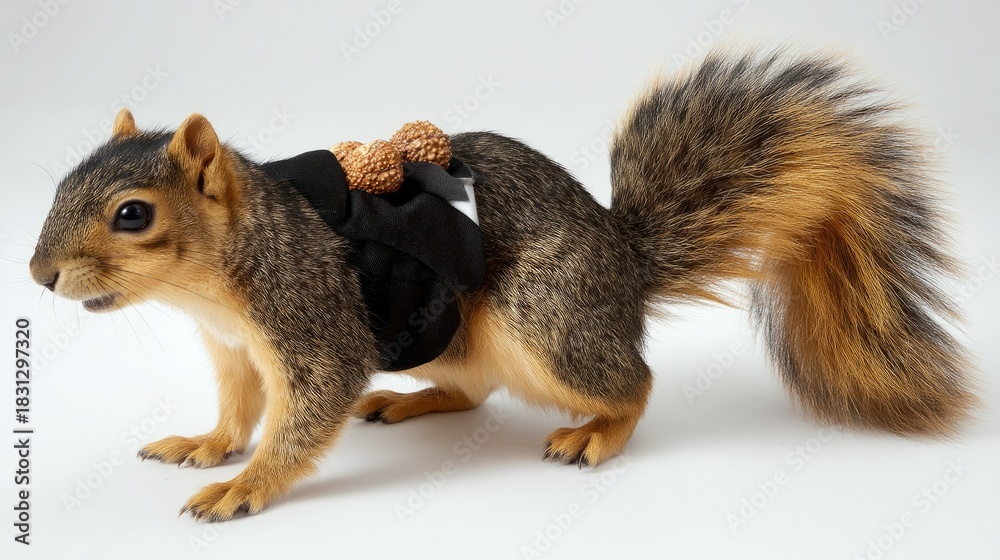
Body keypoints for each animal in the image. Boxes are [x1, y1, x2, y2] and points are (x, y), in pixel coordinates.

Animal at [29, 49, 975, 521]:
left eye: (132, 215)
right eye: (61, 177)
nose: (37, 275)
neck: (217, 283)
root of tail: (621, 265)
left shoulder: (312, 321)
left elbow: (303, 415)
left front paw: (245, 486)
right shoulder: (233, 351)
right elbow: (237, 409)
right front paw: (207, 445)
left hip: (544, 318)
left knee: (633, 381)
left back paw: (599, 433)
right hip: (453, 336)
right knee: (474, 388)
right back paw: (406, 400)